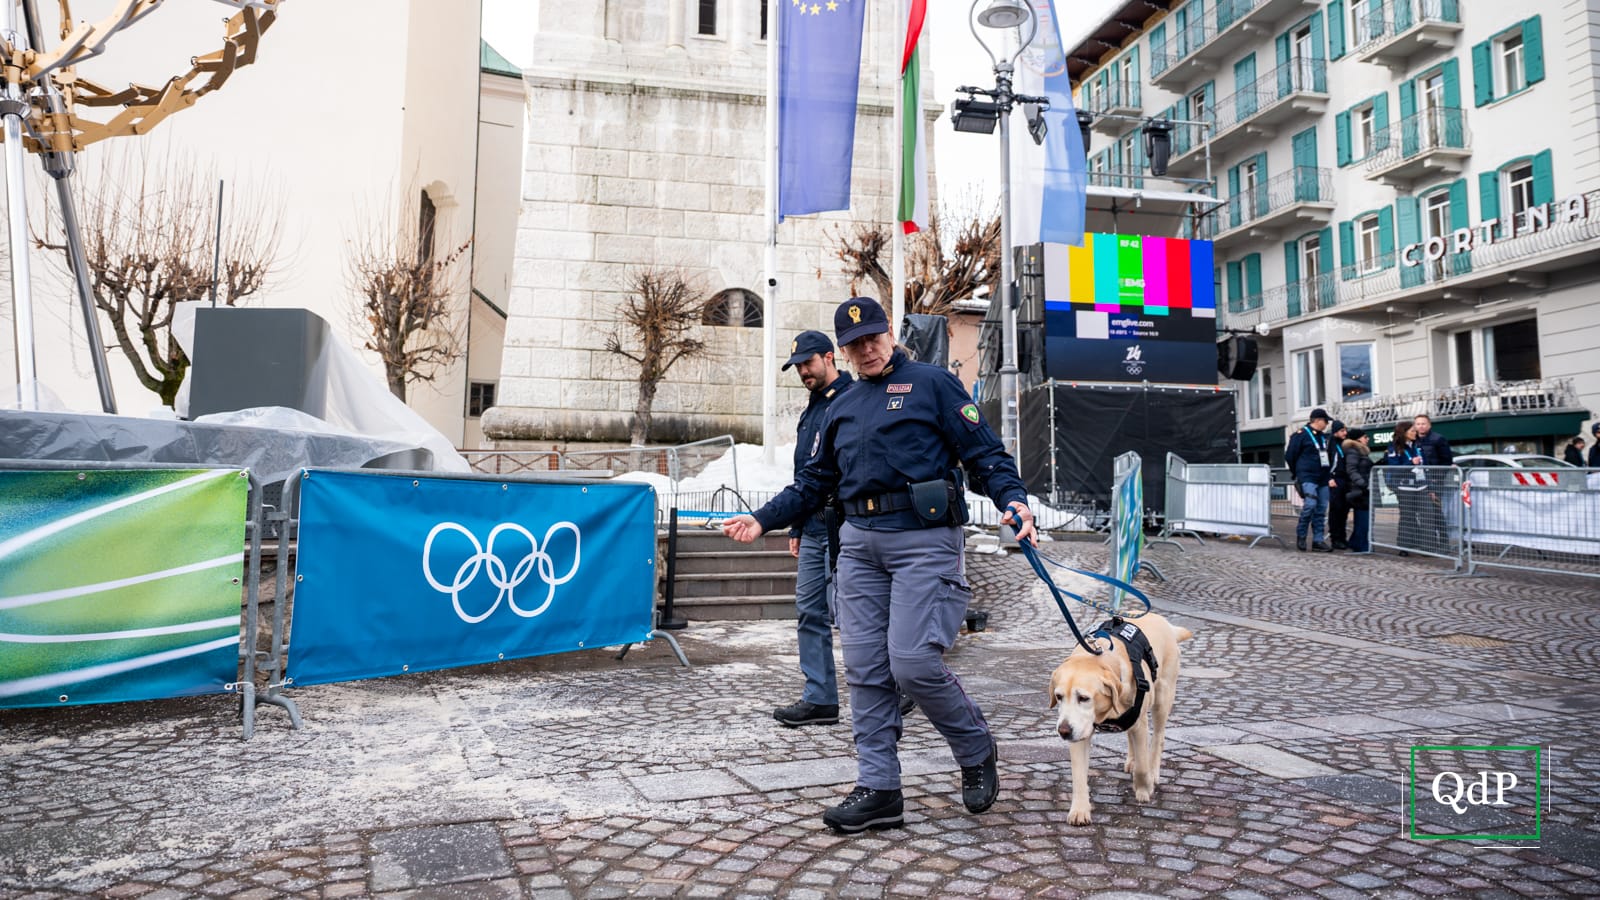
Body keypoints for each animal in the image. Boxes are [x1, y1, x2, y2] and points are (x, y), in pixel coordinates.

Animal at [1047, 612, 1193, 826]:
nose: (1063, 731)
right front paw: (1080, 810)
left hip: (1163, 697)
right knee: (1130, 736)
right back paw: (1131, 760)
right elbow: (1079, 774)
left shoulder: (1140, 723)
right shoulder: (1079, 732)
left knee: (1158, 738)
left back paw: (1154, 771)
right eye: (1058, 697)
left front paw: (1143, 789)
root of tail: (1163, 620)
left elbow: (1142, 766)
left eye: (1084, 698)